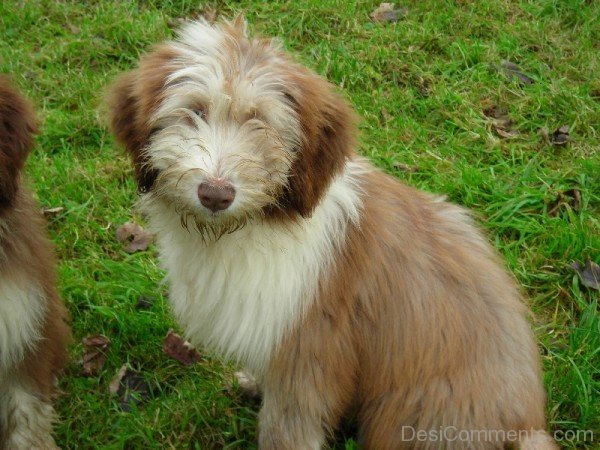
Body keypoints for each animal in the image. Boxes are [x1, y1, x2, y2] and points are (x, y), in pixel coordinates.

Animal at [105, 18, 556, 450]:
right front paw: (252, 382)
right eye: (194, 111)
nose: (215, 194)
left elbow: (286, 427)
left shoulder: (310, 354)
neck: (258, 223)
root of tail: (523, 424)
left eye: (260, 123)